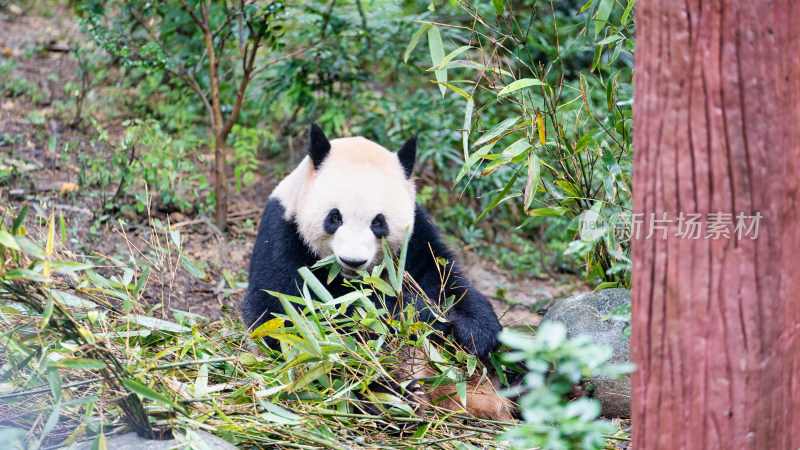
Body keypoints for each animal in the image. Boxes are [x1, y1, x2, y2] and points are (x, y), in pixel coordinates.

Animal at [241, 123, 512, 418]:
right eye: (334, 217)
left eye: (378, 223)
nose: (352, 261)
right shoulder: (283, 233)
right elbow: (290, 312)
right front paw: (416, 313)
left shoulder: (415, 238)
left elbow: (443, 279)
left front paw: (477, 332)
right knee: (348, 368)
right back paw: (396, 400)